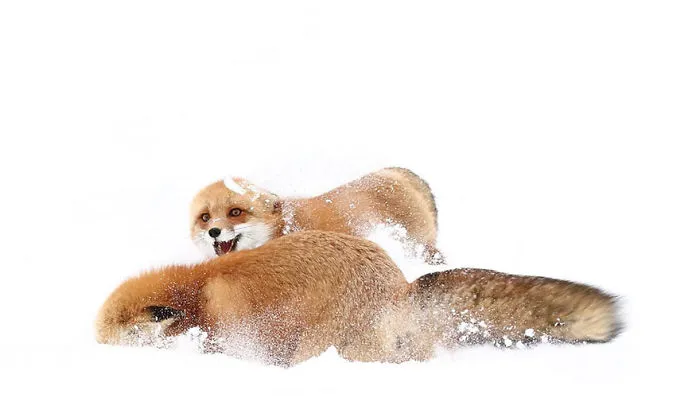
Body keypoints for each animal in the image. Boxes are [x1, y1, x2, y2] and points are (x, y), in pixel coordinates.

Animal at [189, 167, 443, 263]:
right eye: (205, 217)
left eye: (235, 212)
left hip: (419, 247)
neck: (281, 230)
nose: (214, 231)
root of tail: (393, 172)